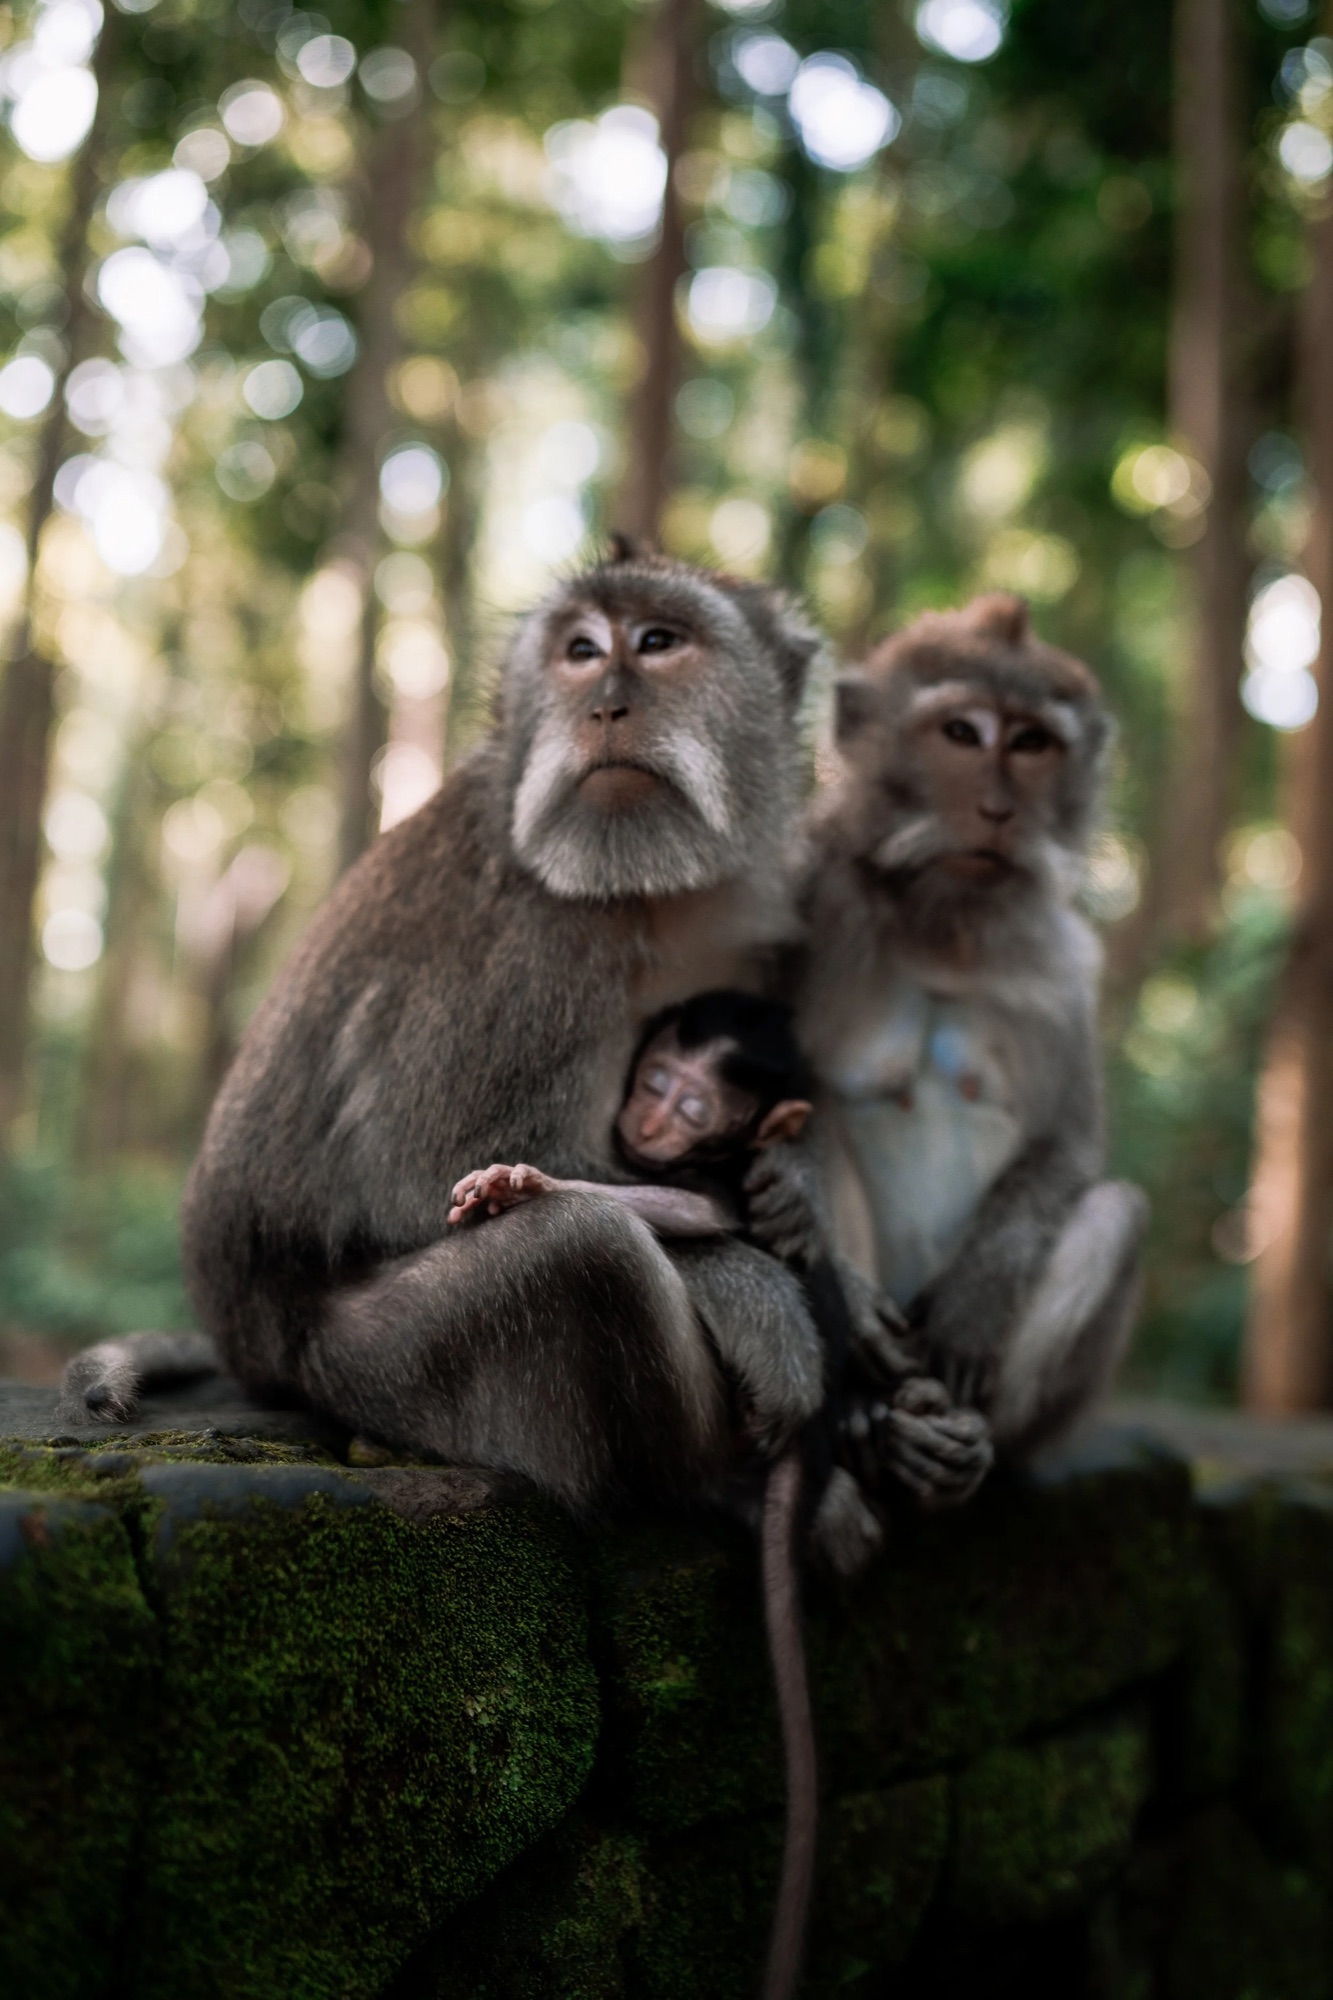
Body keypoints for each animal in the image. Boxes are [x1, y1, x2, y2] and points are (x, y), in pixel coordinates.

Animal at [795, 593, 1149, 1462]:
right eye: (960, 733)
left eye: (1030, 743)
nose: (996, 810)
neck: (941, 929)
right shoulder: (807, 891)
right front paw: (847, 1299)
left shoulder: (1063, 964)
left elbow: (1066, 1146)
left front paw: (977, 1300)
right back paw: (865, 1411)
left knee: (1116, 1213)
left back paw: (967, 1446)